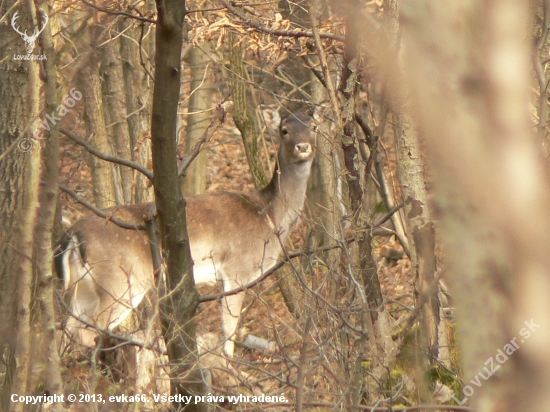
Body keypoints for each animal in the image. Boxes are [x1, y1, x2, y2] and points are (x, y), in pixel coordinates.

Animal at [57, 112, 316, 358]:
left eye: (313, 126)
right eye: (284, 130)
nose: (303, 146)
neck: (269, 216)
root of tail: (73, 234)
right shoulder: (237, 270)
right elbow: (229, 329)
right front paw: (230, 364)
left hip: (86, 286)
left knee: (70, 327)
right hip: (119, 281)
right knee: (92, 329)